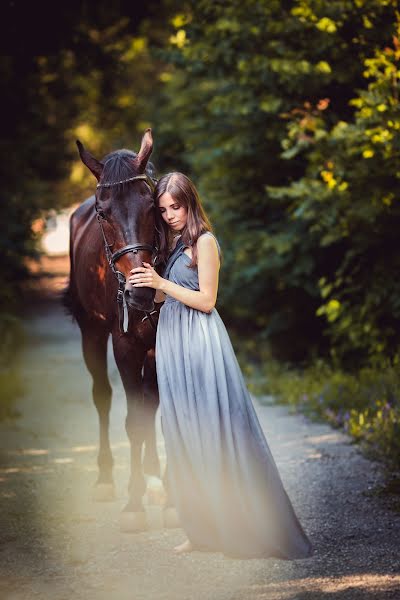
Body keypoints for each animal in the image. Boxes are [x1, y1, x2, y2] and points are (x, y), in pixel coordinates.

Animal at [65, 130, 177, 528]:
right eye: (103, 213)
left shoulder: (158, 346)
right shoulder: (124, 344)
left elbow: (152, 410)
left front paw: (164, 494)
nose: (139, 291)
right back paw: (105, 479)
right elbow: (132, 421)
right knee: (102, 395)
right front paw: (133, 503)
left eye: (153, 207)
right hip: (92, 333)